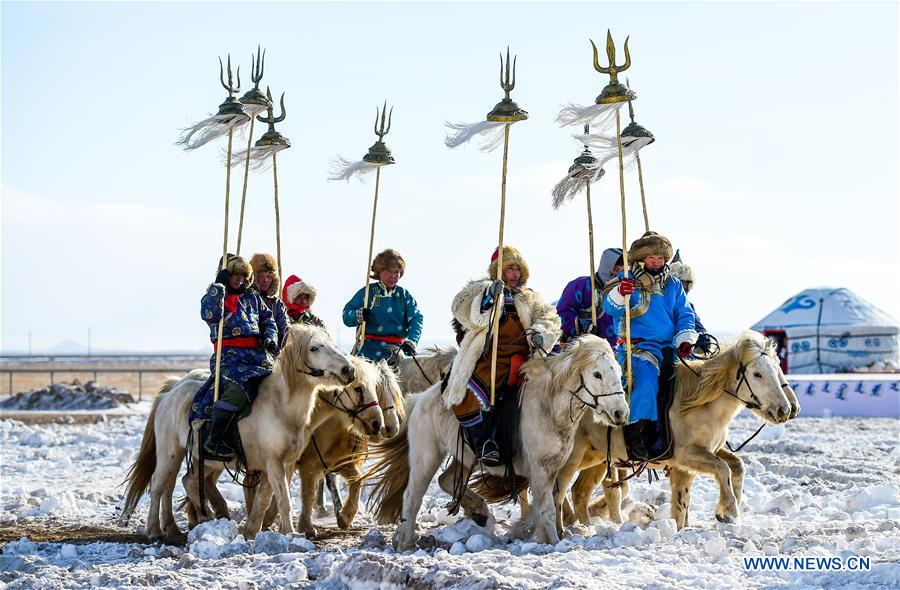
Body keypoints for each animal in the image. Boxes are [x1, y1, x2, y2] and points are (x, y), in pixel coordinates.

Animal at [118, 326, 356, 544]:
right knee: (159, 485)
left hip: (194, 458)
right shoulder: (274, 462)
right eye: (314, 347)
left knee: (181, 483)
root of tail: (169, 394)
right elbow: (284, 501)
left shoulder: (283, 464)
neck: (280, 406)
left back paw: (190, 522)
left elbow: (265, 499)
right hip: (170, 452)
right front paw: (290, 534)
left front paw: (252, 531)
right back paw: (156, 530)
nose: (349, 370)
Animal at [362, 336, 628, 552]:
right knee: (412, 496)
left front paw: (537, 535)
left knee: (447, 480)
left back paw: (479, 511)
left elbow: (550, 502)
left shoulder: (555, 468)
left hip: (465, 458)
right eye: (597, 374)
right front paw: (552, 542)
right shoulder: (540, 469)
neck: (549, 406)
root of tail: (419, 400)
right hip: (426, 456)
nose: (620, 413)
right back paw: (407, 543)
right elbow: (547, 508)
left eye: (618, 371)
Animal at [560, 332, 800, 532]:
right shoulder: (687, 455)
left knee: (580, 492)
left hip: (597, 457)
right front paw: (728, 511)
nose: (785, 409)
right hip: (575, 455)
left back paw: (582, 525)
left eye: (777, 370)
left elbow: (726, 472)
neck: (698, 404)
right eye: (757, 374)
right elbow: (723, 469)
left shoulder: (698, 457)